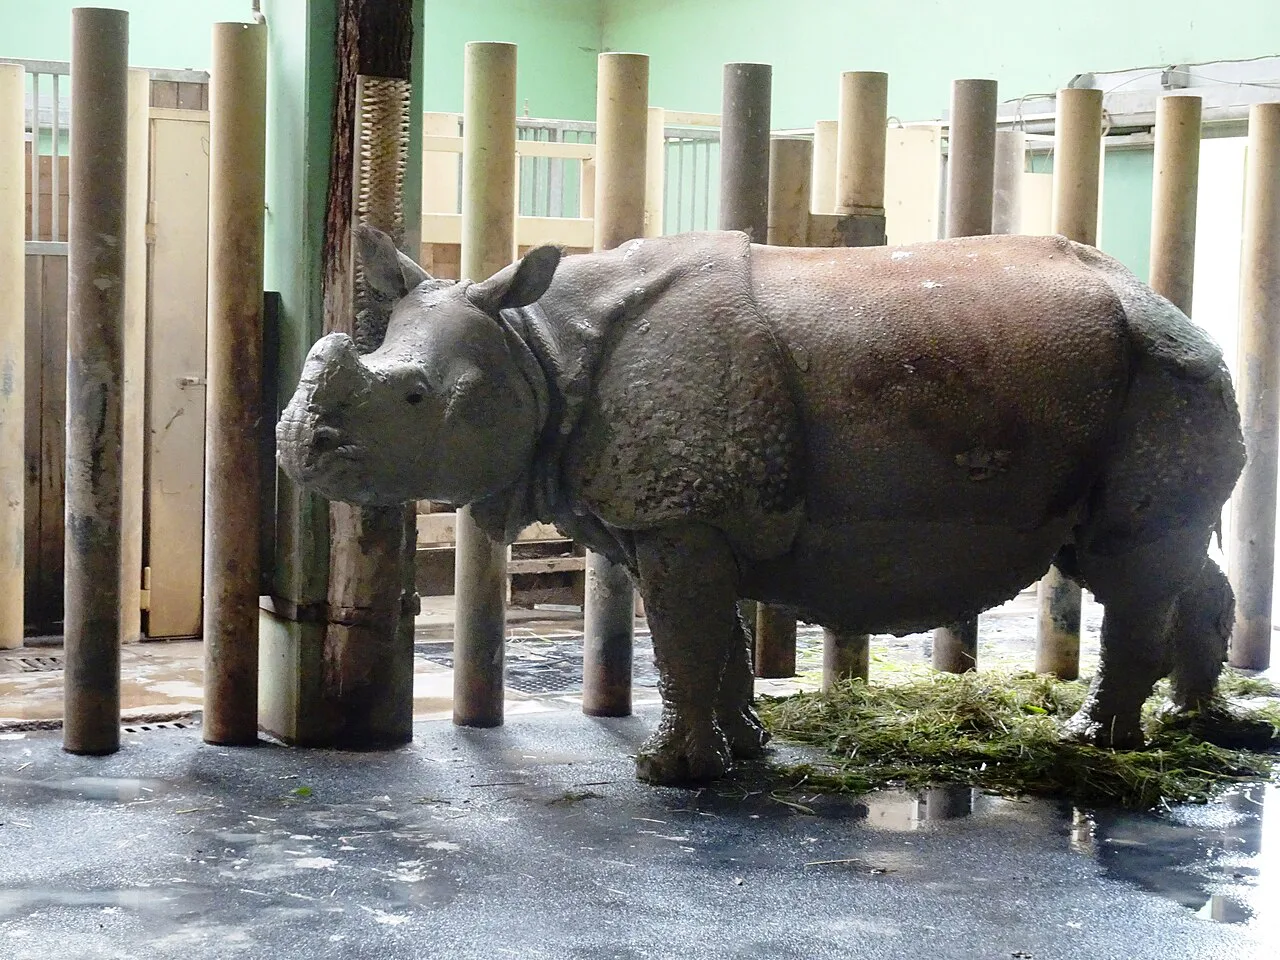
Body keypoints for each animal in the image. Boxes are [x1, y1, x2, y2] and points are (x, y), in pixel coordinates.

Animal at [277, 225, 1245, 786]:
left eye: (414, 397)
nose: (296, 445)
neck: (535, 346)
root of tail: (1175, 310)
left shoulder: (681, 517)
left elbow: (685, 639)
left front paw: (671, 775)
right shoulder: (690, 513)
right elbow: (719, 641)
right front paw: (744, 750)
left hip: (1163, 376)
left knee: (1130, 563)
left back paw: (1097, 744)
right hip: (1145, 377)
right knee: (1152, 553)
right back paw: (1195, 717)